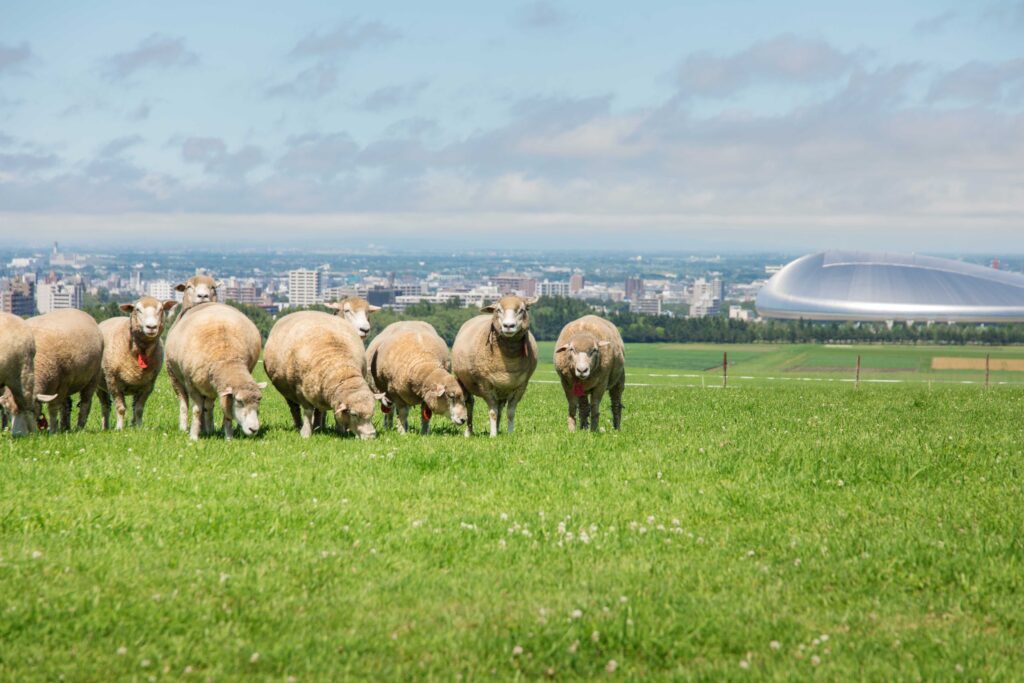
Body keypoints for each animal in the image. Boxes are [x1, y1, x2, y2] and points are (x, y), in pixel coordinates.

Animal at [96, 296, 178, 430]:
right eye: (137, 310)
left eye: (161, 309)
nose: (151, 327)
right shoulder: (113, 381)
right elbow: (120, 408)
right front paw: (119, 428)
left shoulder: (148, 385)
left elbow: (139, 409)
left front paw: (139, 428)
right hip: (99, 385)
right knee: (105, 406)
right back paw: (105, 427)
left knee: (133, 406)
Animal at [163, 301, 264, 440]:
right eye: (239, 401)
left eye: (259, 400)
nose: (253, 429)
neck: (225, 357)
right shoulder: (191, 385)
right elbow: (197, 410)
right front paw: (193, 437)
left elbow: (226, 412)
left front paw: (228, 437)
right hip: (174, 375)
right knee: (184, 402)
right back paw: (184, 428)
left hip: (208, 385)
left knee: (208, 406)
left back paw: (208, 429)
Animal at [264, 309, 380, 438]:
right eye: (354, 414)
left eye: (372, 413)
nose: (371, 436)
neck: (340, 368)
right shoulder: (300, 390)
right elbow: (308, 412)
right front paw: (305, 433)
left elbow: (334, 412)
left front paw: (340, 431)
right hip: (288, 390)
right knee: (294, 408)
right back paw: (299, 425)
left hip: (317, 389)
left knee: (319, 409)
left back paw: (318, 427)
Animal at [452, 294, 540, 438]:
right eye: (498, 310)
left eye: (522, 310)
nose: (508, 325)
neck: (508, 361)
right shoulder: (485, 384)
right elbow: (492, 412)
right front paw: (492, 436)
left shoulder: (521, 386)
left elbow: (510, 412)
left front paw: (509, 434)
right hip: (464, 381)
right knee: (470, 403)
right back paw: (469, 432)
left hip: (501, 389)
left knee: (500, 408)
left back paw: (498, 429)